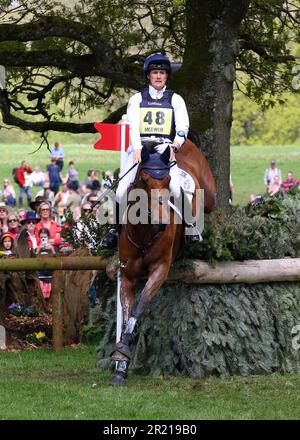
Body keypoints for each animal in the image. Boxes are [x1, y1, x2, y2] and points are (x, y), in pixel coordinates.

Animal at [109, 138, 217, 384]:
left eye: (167, 180)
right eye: (143, 180)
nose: (160, 223)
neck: (144, 233)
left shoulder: (160, 270)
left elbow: (139, 306)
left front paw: (123, 349)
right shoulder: (127, 275)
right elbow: (127, 311)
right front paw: (121, 366)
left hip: (209, 196)